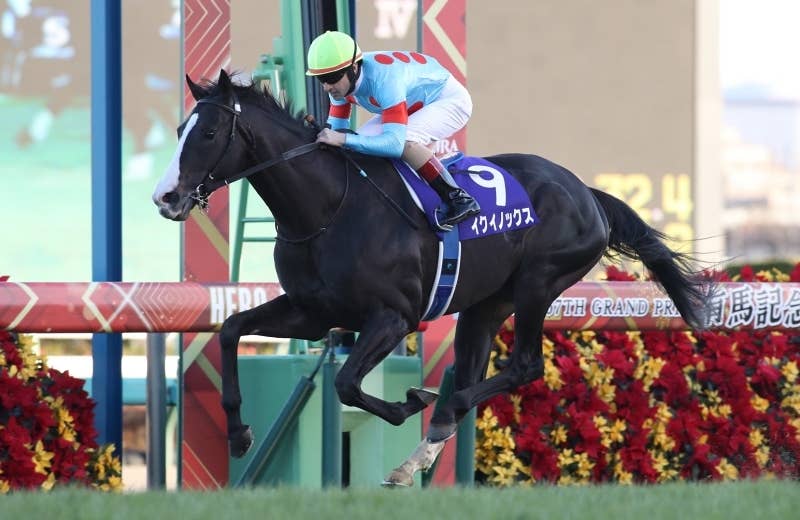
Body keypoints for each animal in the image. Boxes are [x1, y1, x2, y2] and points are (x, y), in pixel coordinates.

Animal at [152, 69, 710, 486]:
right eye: (178, 130)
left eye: (207, 133)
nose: (165, 197)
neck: (329, 209)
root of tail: (586, 192)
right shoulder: (311, 313)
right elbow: (230, 329)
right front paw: (239, 433)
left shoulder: (394, 318)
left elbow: (348, 384)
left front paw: (406, 404)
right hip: (486, 306)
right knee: (475, 370)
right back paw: (414, 457)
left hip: (539, 283)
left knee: (521, 367)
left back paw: (436, 411)